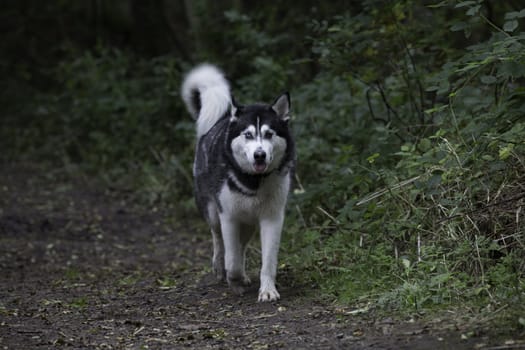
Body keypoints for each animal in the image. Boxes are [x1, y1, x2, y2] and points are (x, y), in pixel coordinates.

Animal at [181, 63, 294, 300]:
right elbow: (231, 261)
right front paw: (234, 280)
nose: (259, 155)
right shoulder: (229, 217)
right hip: (213, 212)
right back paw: (218, 268)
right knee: (218, 240)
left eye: (269, 134)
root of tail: (223, 119)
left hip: (249, 222)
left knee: (241, 245)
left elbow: (268, 262)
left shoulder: (272, 218)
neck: (253, 182)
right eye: (248, 135)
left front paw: (267, 290)